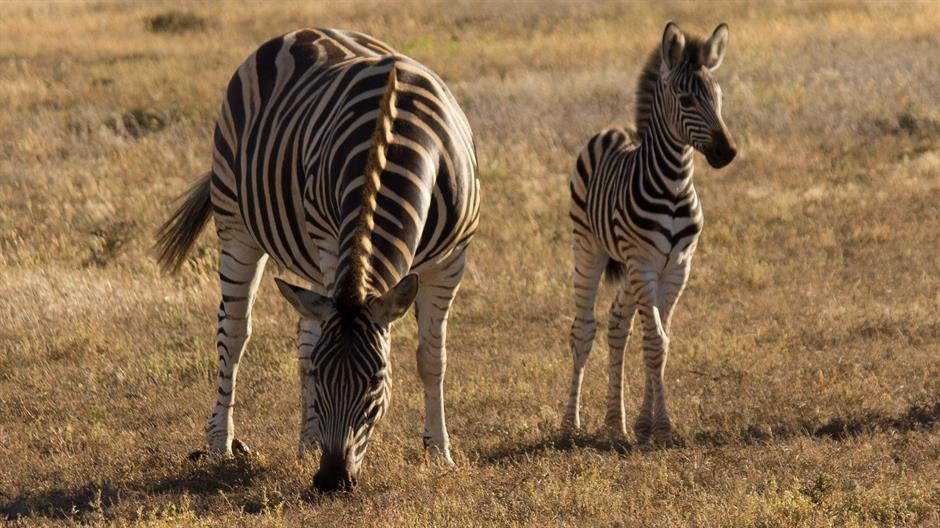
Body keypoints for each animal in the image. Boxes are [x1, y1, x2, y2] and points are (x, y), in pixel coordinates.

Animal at [155, 28, 479, 491]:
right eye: (322, 379)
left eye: (377, 380)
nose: (331, 479)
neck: (393, 138)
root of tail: (301, 32)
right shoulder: (330, 239)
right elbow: (310, 350)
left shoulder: (452, 259)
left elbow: (432, 358)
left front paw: (438, 453)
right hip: (236, 220)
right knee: (233, 334)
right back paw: (221, 444)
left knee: (305, 332)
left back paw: (307, 442)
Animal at [562, 22, 736, 446]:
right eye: (686, 99)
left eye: (719, 97)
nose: (728, 152)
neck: (673, 186)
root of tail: (614, 129)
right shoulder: (643, 264)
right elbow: (654, 341)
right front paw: (660, 427)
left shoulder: (677, 267)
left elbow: (662, 341)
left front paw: (648, 426)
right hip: (588, 247)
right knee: (583, 329)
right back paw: (569, 424)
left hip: (631, 268)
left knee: (616, 324)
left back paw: (614, 421)